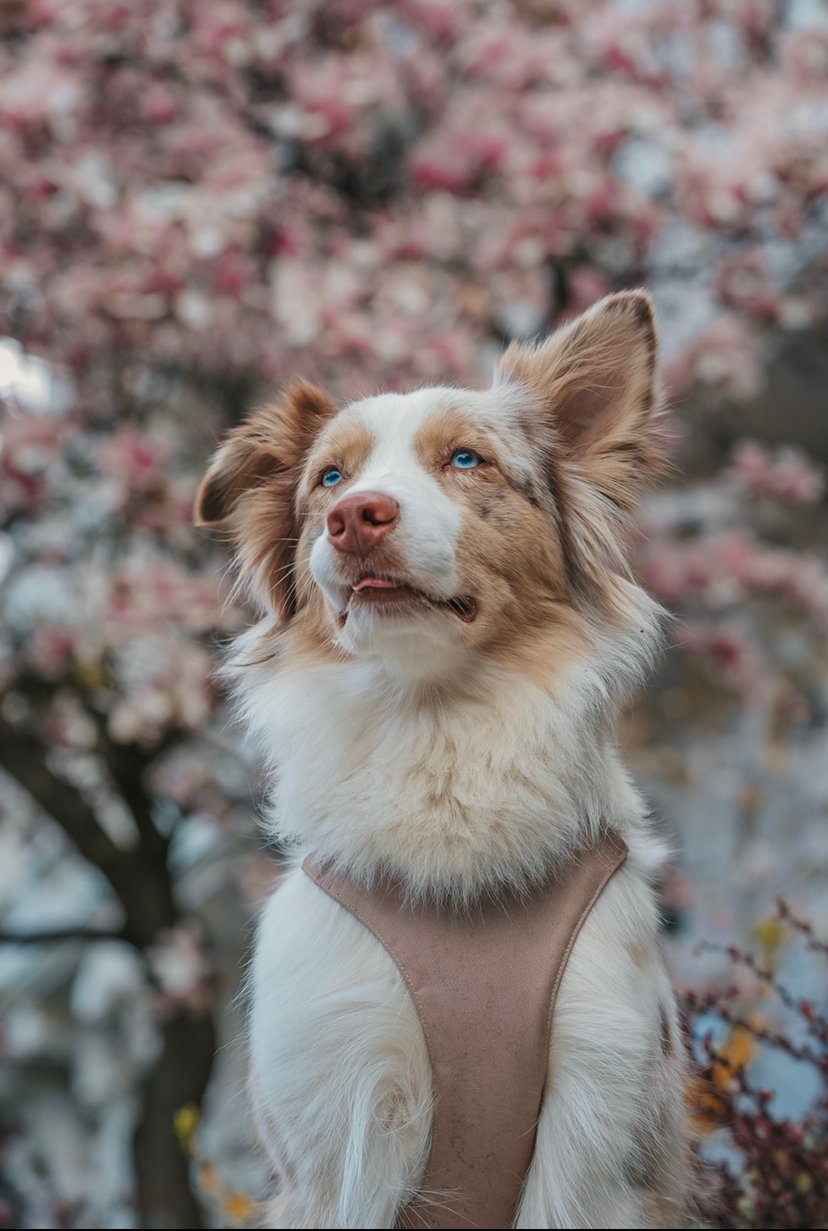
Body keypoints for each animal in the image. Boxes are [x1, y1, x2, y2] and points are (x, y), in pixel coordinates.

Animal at [194, 292, 688, 1226]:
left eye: (466, 459)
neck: (437, 726)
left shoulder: (600, 1119)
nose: (357, 517)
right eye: (330, 478)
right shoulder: (334, 1120)